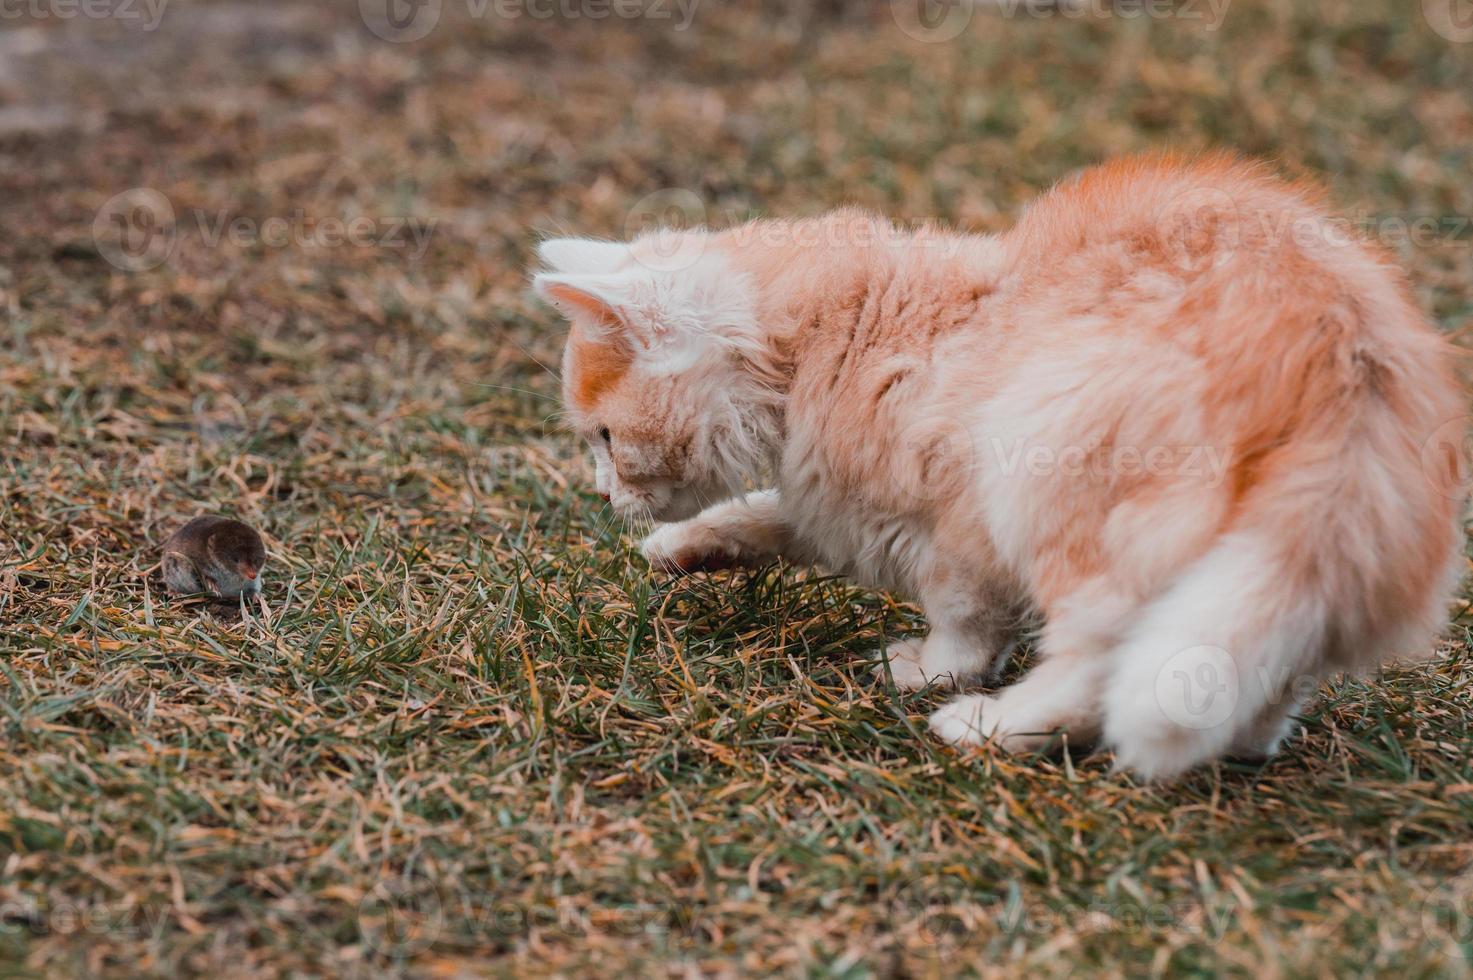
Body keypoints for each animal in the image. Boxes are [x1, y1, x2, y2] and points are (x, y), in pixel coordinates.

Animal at [530, 153, 1461, 778]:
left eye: (604, 438)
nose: (602, 495)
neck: (837, 334)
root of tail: (1342, 376)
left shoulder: (955, 520)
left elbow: (965, 620)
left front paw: (928, 672)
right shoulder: (829, 494)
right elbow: (763, 514)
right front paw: (681, 548)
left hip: (1052, 482)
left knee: (1097, 663)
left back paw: (990, 726)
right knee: (1250, 672)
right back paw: (1246, 740)